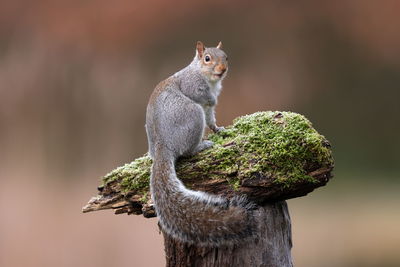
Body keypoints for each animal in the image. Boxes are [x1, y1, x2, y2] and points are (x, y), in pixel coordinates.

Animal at [146, 40, 256, 248]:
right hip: (192, 114)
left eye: (226, 57)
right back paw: (202, 146)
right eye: (207, 58)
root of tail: (163, 145)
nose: (223, 69)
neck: (207, 77)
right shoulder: (193, 86)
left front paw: (219, 129)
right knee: (187, 151)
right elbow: (203, 97)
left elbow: (211, 119)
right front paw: (213, 101)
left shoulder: (208, 110)